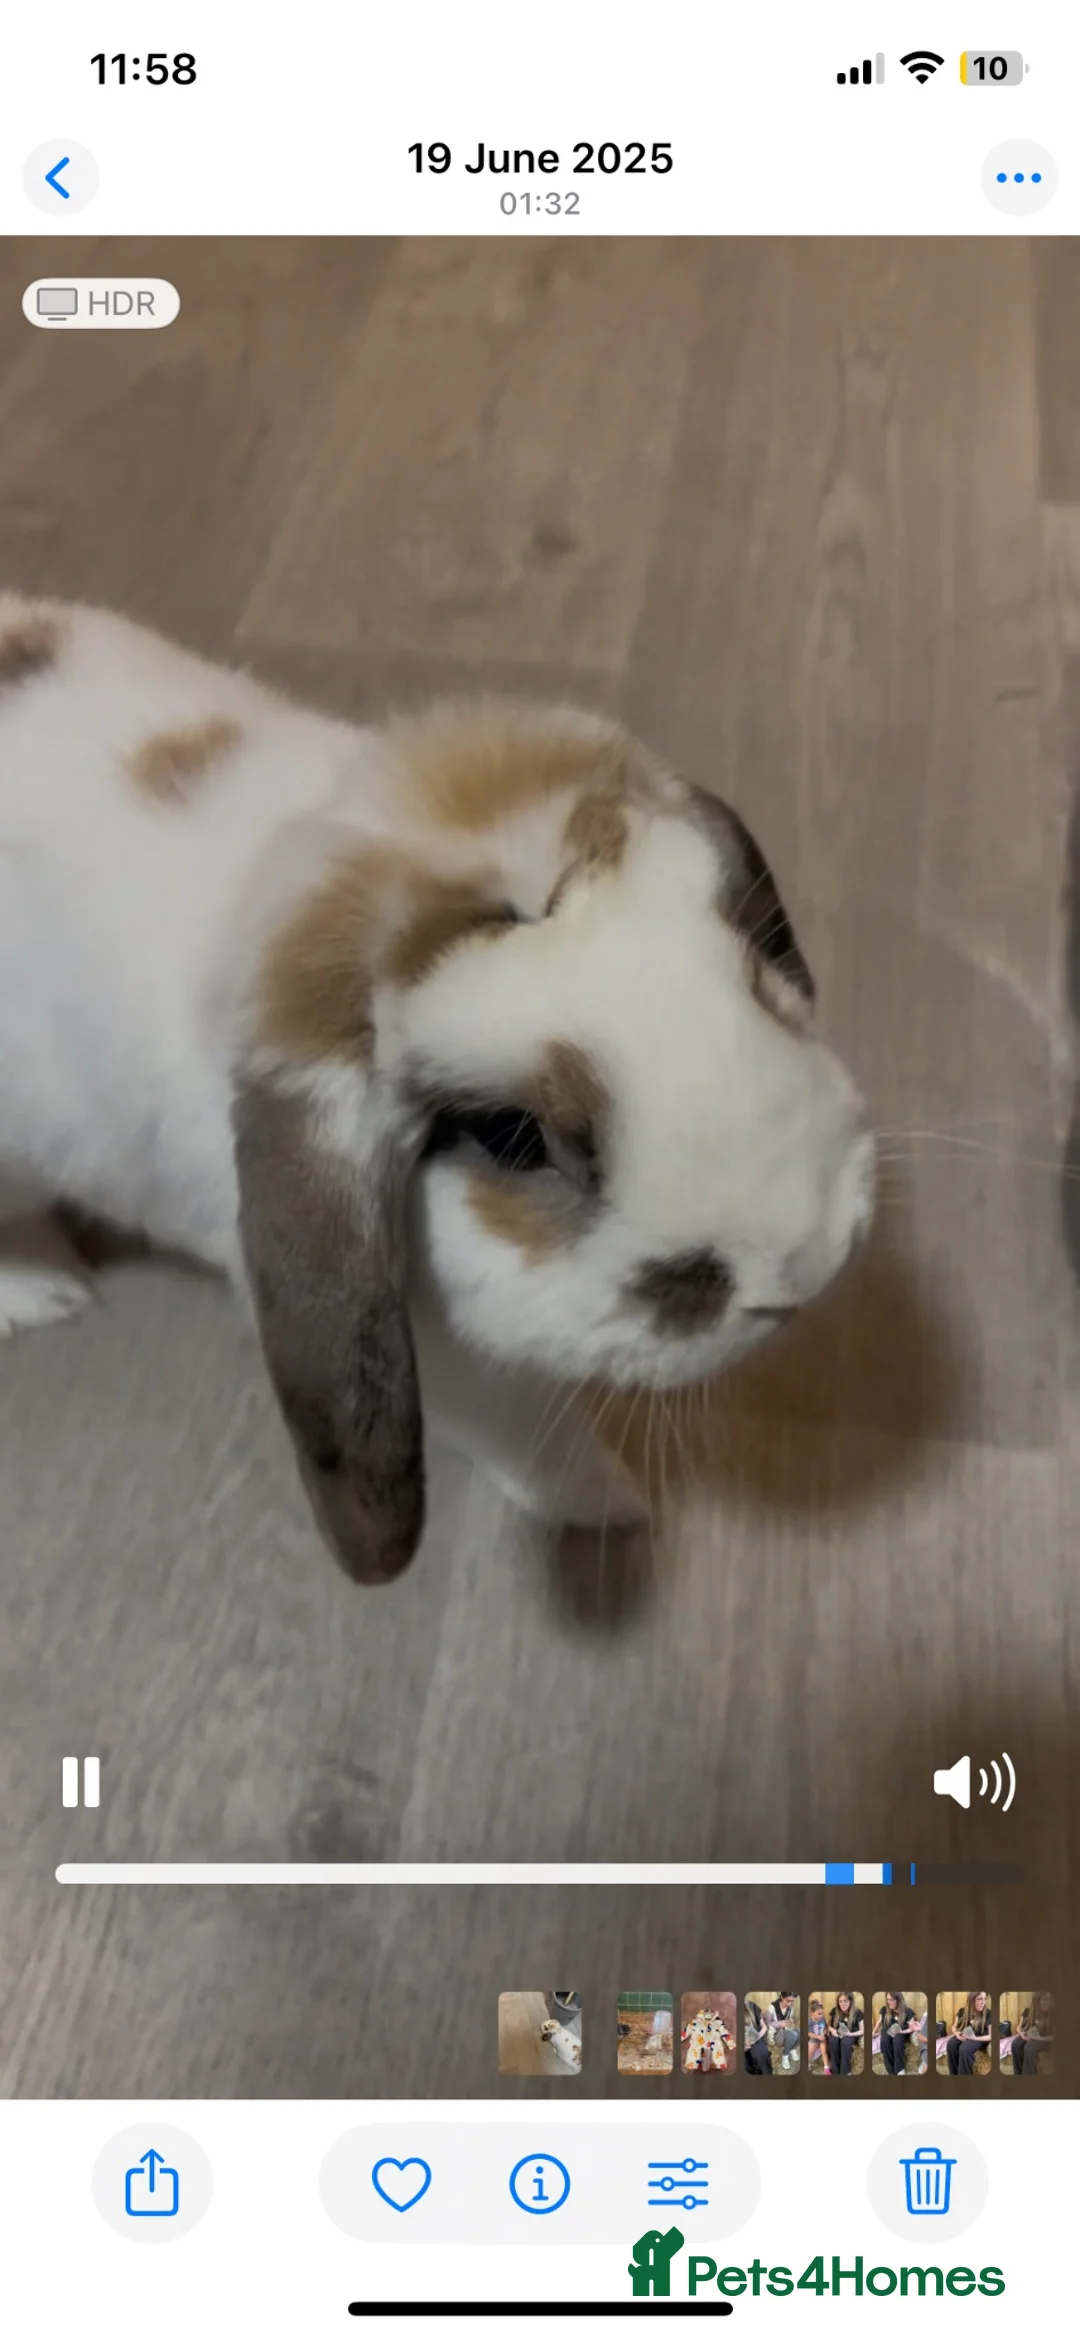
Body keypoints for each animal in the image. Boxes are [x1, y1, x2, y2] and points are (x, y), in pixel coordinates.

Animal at [0, 592, 875, 1585]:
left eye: (759, 974)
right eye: (509, 1135)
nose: (809, 1261)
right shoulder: (448, 1354)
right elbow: (528, 1435)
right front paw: (610, 1504)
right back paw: (45, 1292)